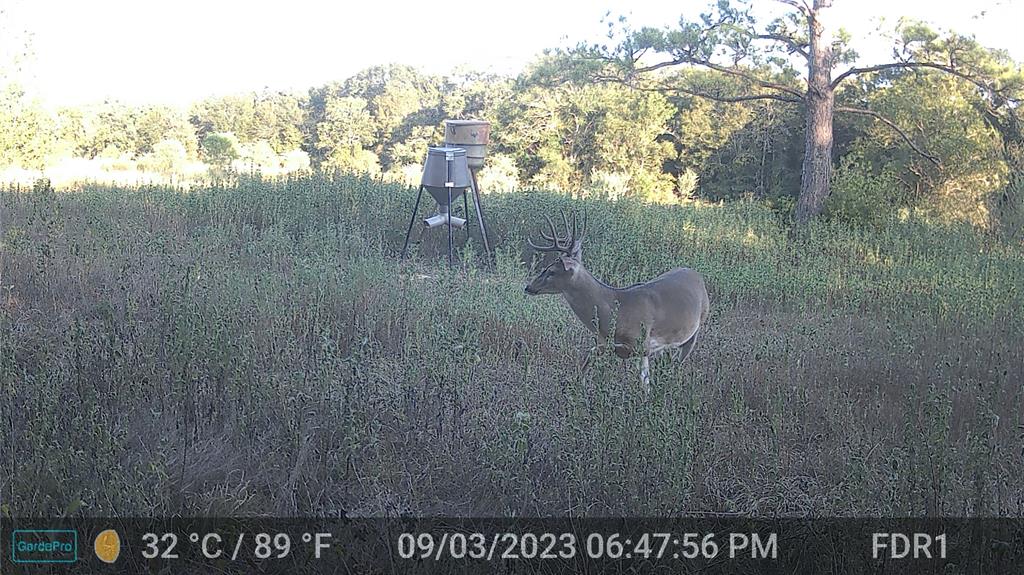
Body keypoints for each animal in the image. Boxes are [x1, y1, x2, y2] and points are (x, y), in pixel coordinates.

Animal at [524, 207, 708, 390]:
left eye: (551, 271)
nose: (528, 287)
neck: (616, 311)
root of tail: (696, 273)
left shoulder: (642, 345)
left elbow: (644, 384)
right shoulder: (605, 343)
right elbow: (589, 356)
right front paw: (577, 385)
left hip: (696, 328)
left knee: (678, 361)